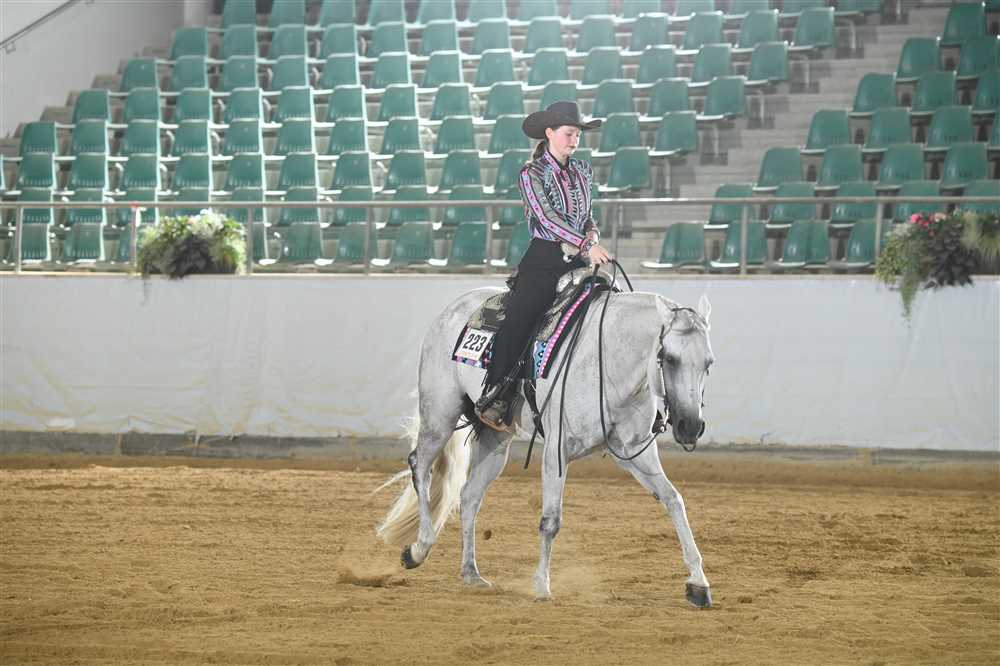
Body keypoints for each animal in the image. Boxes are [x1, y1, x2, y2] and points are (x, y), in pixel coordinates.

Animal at [376, 280, 715, 608]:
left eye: (708, 363)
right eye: (670, 359)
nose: (690, 426)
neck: (608, 359)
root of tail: (452, 308)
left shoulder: (633, 452)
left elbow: (673, 500)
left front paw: (698, 584)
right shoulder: (557, 451)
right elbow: (550, 520)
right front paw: (541, 586)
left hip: (496, 440)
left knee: (469, 496)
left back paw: (471, 573)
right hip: (439, 415)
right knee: (420, 467)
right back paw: (418, 549)